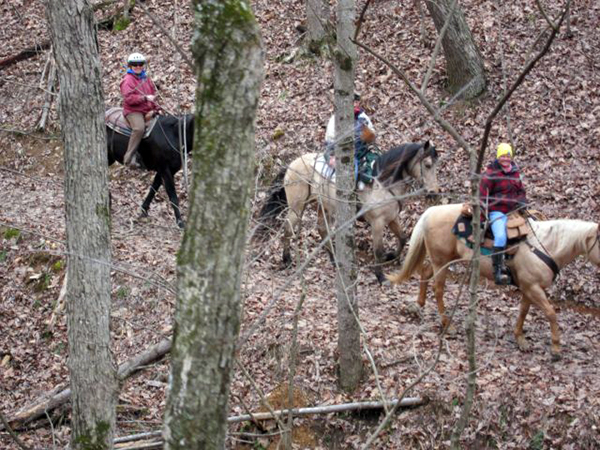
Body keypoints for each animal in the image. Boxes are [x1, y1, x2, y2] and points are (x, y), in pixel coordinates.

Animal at [258, 142, 440, 282]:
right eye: (427, 165)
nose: (434, 192)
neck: (383, 184)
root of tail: (292, 165)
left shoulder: (391, 218)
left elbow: (402, 238)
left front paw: (391, 256)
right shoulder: (378, 223)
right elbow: (378, 250)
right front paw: (380, 276)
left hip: (322, 206)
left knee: (322, 229)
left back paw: (334, 260)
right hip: (297, 207)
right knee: (288, 228)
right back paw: (287, 259)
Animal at [386, 203, 600, 358]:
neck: (545, 245)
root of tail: (430, 211)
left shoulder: (529, 287)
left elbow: (523, 311)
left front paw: (520, 339)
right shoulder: (533, 288)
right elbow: (551, 313)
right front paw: (555, 349)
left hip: (444, 260)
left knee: (425, 272)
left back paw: (418, 305)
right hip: (441, 261)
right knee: (438, 290)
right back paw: (448, 325)